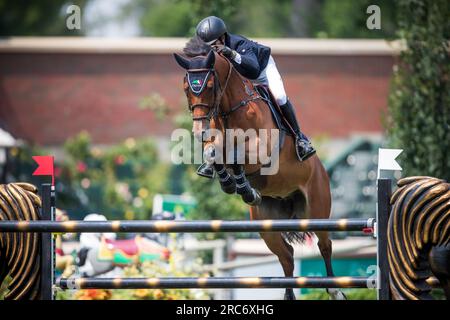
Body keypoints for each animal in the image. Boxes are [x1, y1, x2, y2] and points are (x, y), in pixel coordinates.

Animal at [174, 38, 342, 300]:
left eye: (209, 85)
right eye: (186, 87)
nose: (199, 131)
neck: (230, 109)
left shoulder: (259, 151)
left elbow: (235, 158)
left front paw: (243, 188)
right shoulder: (215, 143)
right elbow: (214, 154)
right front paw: (231, 184)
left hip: (317, 209)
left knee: (325, 245)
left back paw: (335, 290)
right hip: (267, 225)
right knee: (287, 256)